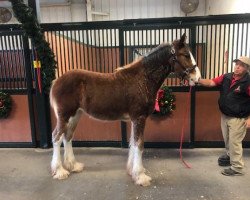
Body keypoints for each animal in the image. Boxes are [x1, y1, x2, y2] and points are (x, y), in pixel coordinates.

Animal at [49, 32, 201, 186]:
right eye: (186, 54)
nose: (197, 77)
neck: (143, 79)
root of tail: (56, 81)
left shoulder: (135, 120)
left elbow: (133, 143)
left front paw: (132, 171)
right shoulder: (139, 118)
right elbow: (139, 144)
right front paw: (140, 176)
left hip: (75, 115)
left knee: (67, 136)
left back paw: (73, 166)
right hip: (64, 115)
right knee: (57, 137)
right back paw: (60, 171)